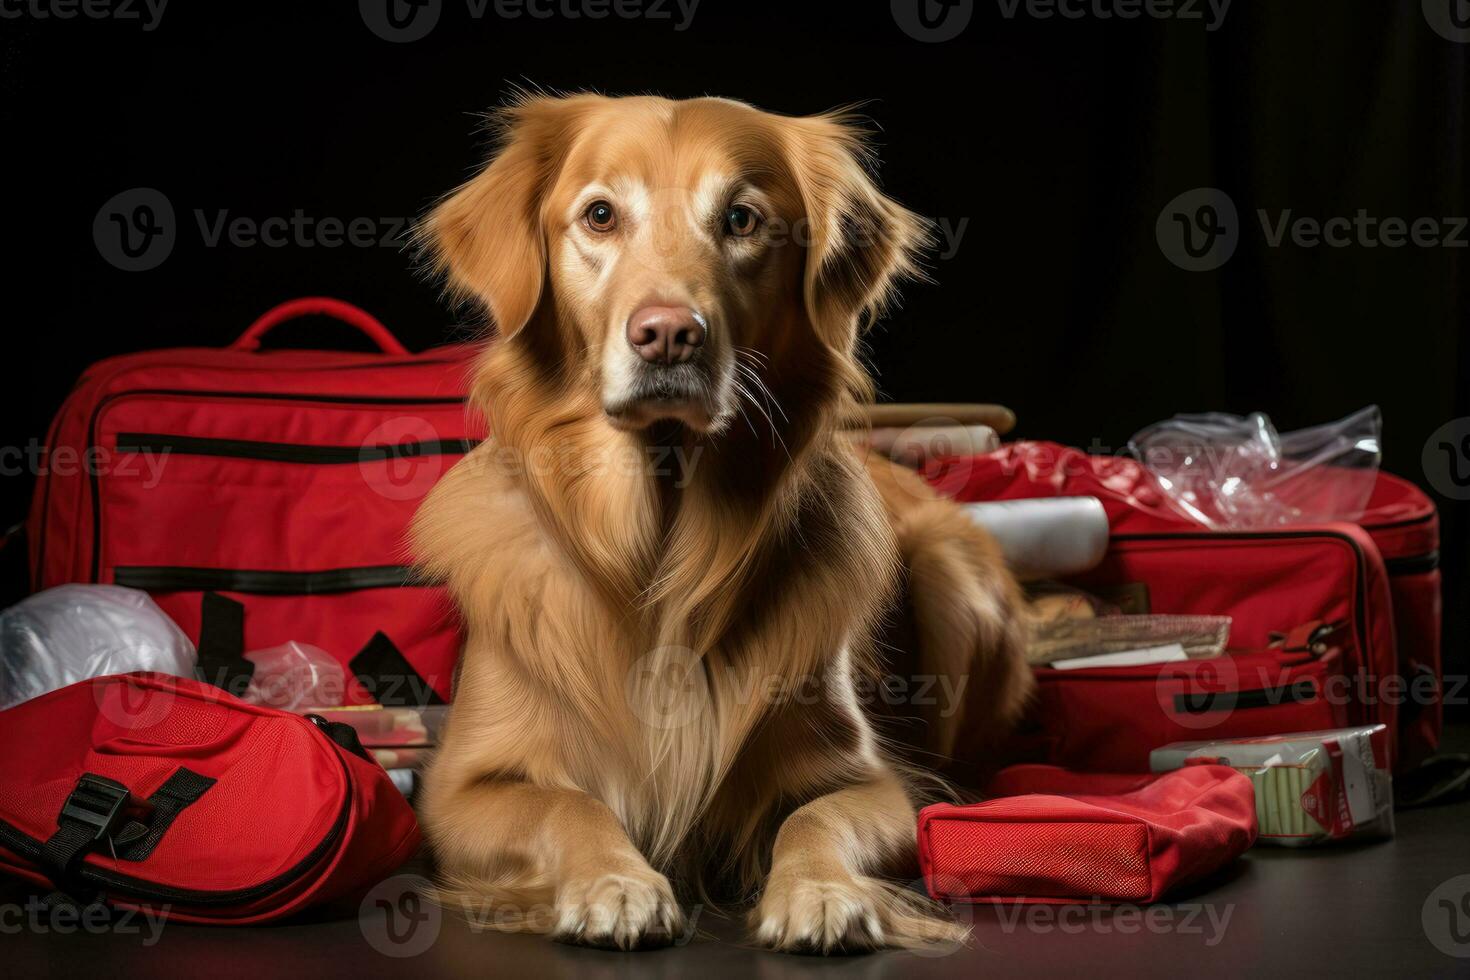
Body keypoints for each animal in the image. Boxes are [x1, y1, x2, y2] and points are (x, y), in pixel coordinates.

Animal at [411, 95, 1034, 952]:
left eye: (742, 220)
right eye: (600, 215)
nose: (668, 333)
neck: (662, 551)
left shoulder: (877, 784)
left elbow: (817, 820)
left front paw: (821, 893)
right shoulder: (458, 790)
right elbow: (566, 802)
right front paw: (616, 883)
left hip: (949, 572)